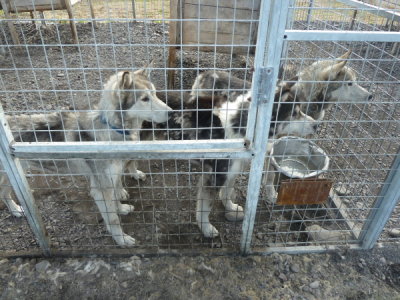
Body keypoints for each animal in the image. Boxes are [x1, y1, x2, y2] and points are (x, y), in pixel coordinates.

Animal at [0, 67, 172, 246]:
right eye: (145, 99)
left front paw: (121, 208)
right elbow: (113, 219)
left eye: (155, 94)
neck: (111, 130)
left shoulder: (112, 178)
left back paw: (15, 210)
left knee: (3, 193)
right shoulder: (100, 189)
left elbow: (115, 198)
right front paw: (122, 240)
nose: (172, 113)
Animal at [155, 85, 318, 238]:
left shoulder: (233, 170)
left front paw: (230, 207)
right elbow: (205, 208)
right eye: (294, 114)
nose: (316, 124)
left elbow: (227, 191)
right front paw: (206, 228)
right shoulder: (214, 177)